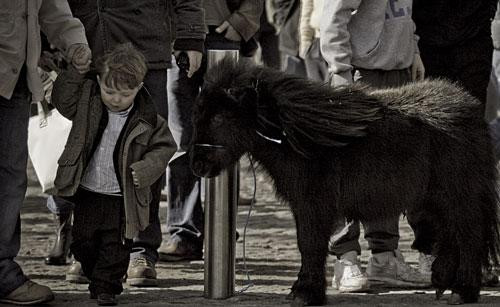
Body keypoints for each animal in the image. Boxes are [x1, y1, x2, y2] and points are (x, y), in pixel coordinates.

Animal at [188, 59, 500, 306]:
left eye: (219, 117)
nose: (197, 166)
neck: (304, 139)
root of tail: (473, 111)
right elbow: (310, 244)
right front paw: (304, 290)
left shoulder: (313, 205)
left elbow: (309, 244)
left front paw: (305, 293)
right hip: (440, 199)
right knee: (450, 235)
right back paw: (443, 281)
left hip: (459, 195)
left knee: (468, 236)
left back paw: (463, 290)